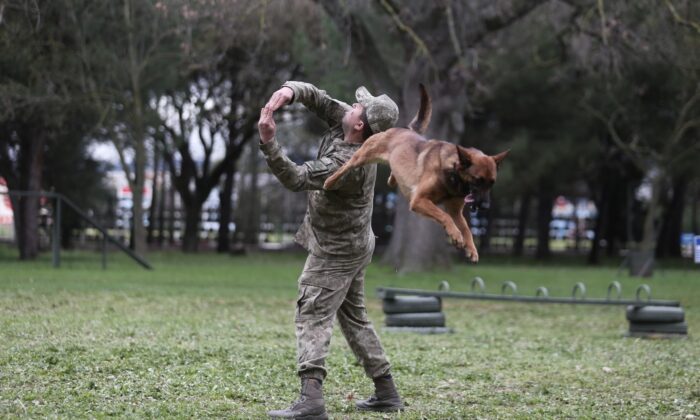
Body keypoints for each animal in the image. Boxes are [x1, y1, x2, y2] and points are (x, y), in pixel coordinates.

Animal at [322, 84, 508, 262]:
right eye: (478, 180)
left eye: (492, 182)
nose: (485, 206)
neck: (452, 174)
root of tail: (404, 129)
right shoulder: (419, 200)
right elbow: (444, 216)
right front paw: (455, 235)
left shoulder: (455, 211)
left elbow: (466, 228)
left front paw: (471, 249)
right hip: (363, 155)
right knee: (346, 166)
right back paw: (330, 181)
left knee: (392, 174)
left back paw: (392, 178)